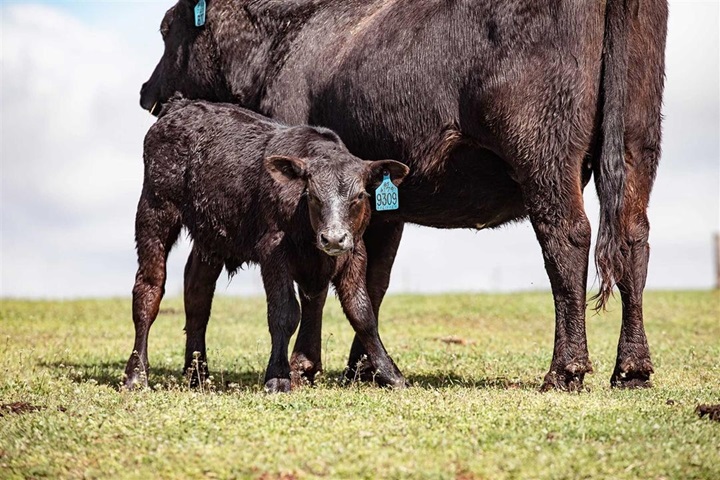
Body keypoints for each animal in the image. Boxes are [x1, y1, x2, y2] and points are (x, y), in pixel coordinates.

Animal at [121, 95, 408, 392]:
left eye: (360, 195)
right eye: (312, 195)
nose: (333, 238)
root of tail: (179, 105)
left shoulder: (355, 252)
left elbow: (362, 313)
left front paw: (391, 374)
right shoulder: (273, 250)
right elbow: (285, 311)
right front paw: (278, 377)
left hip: (209, 237)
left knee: (197, 293)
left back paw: (198, 375)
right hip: (154, 210)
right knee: (148, 290)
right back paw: (136, 374)